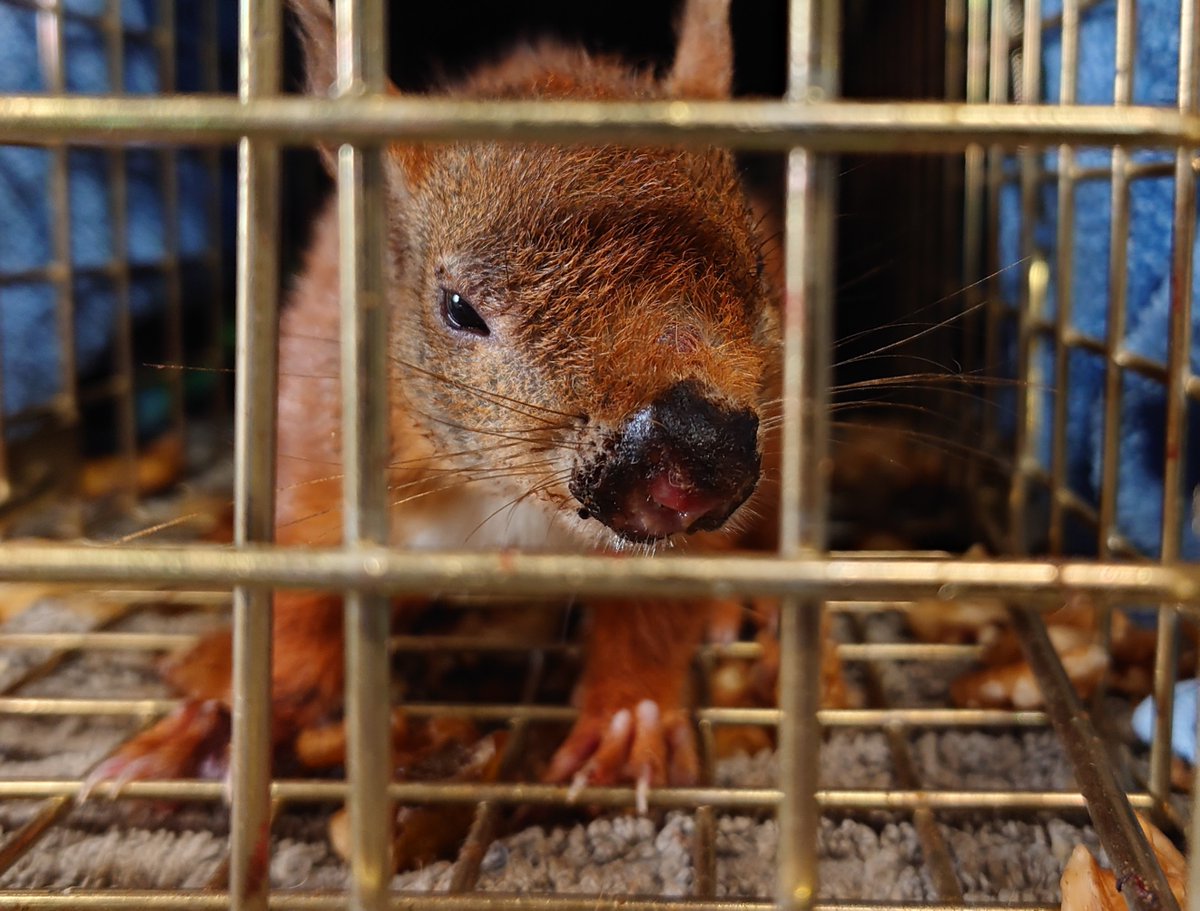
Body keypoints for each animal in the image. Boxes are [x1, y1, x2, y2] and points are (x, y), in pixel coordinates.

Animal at [92, 0, 785, 800]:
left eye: (759, 270)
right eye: (458, 309)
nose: (699, 452)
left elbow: (654, 611)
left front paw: (628, 717)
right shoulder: (318, 439)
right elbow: (299, 590)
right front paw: (227, 719)